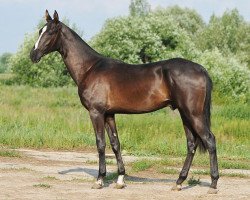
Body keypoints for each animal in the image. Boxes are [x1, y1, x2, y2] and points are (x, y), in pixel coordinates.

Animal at [29, 10, 219, 193]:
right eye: (40, 31)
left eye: (50, 32)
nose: (33, 55)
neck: (90, 68)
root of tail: (201, 69)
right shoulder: (109, 114)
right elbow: (115, 144)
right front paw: (120, 180)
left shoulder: (96, 113)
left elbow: (100, 144)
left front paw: (99, 180)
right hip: (184, 114)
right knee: (191, 144)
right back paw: (179, 182)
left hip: (193, 114)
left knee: (210, 140)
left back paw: (213, 184)